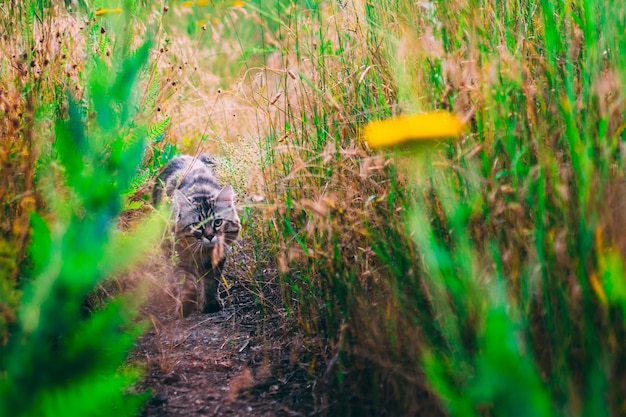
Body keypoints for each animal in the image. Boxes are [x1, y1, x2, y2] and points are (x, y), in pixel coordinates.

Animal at [152, 154, 240, 314]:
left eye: (217, 222)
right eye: (196, 225)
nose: (210, 236)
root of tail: (181, 155)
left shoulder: (216, 258)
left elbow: (211, 282)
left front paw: (211, 304)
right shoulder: (179, 256)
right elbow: (186, 283)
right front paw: (186, 305)